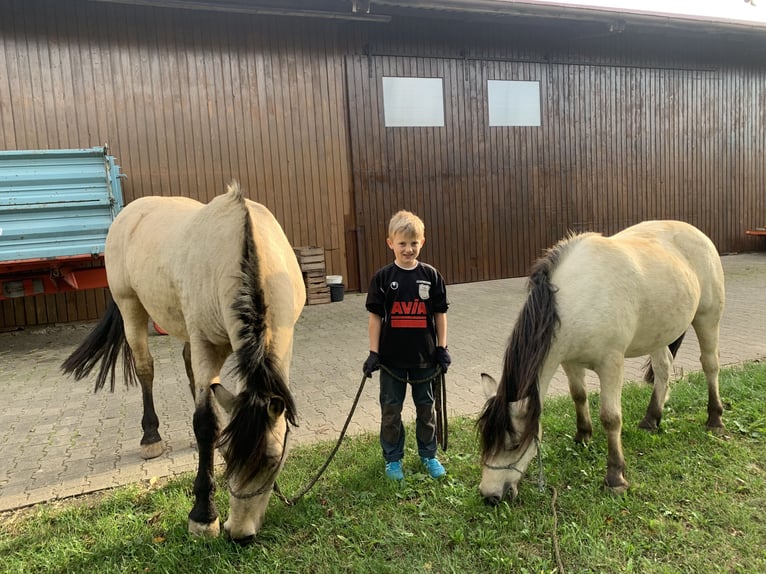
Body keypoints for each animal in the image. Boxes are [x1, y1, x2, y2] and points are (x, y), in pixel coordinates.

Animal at [61, 183, 306, 544]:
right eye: (231, 457)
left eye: (272, 461)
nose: (239, 534)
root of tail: (130, 212)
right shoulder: (207, 344)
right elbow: (205, 423)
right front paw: (203, 516)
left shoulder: (284, 340)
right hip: (131, 308)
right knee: (146, 369)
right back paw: (150, 438)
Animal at [480, 223, 728, 506]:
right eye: (484, 442)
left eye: (513, 444)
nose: (489, 496)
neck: (573, 300)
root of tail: (697, 233)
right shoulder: (569, 361)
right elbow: (579, 396)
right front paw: (582, 436)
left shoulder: (611, 364)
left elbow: (611, 418)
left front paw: (615, 477)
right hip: (658, 333)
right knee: (663, 369)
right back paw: (651, 420)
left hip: (708, 318)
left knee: (710, 365)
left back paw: (715, 419)